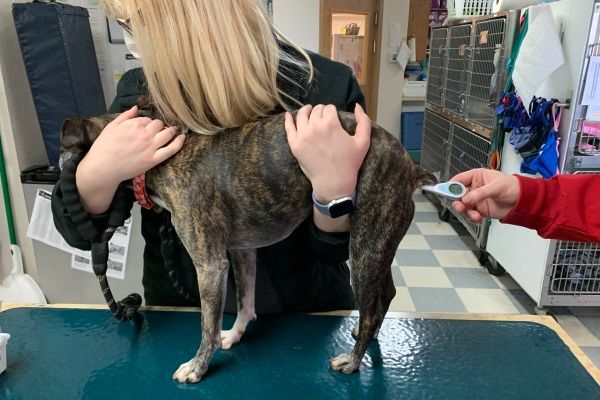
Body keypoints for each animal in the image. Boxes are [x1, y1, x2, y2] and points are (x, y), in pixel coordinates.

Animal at [59, 109, 436, 384]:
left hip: (365, 247)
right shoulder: (242, 250)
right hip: (378, 243)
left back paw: (354, 359)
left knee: (370, 307)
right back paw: (366, 335)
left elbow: (206, 325)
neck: (162, 157)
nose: (63, 178)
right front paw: (236, 334)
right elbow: (246, 299)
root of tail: (410, 164)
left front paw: (198, 367)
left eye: (65, 150)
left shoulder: (210, 266)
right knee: (386, 293)